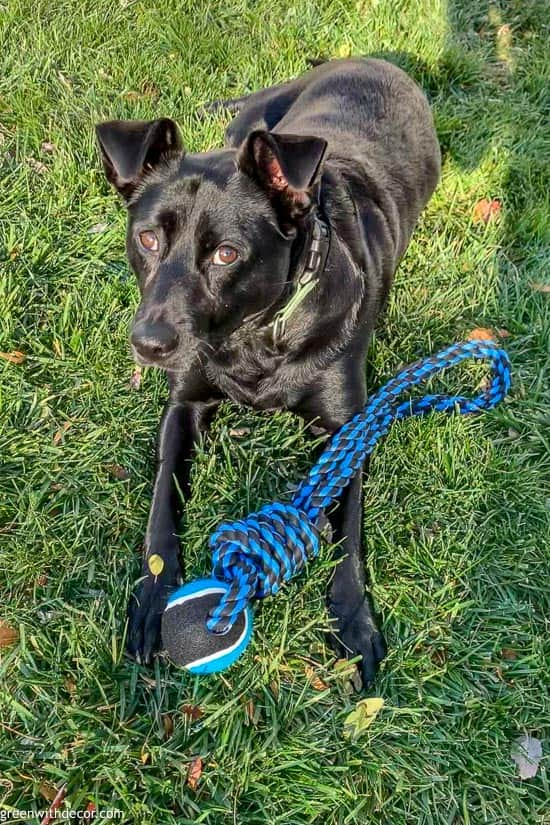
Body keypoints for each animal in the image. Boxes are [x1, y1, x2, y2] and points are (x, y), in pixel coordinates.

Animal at [97, 59, 442, 688]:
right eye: (148, 238)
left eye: (226, 254)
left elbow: (348, 542)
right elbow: (162, 507)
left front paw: (354, 621)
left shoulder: (347, 430)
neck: (252, 338)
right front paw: (154, 598)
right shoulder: (183, 406)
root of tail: (377, 60)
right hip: (252, 126)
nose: (148, 344)